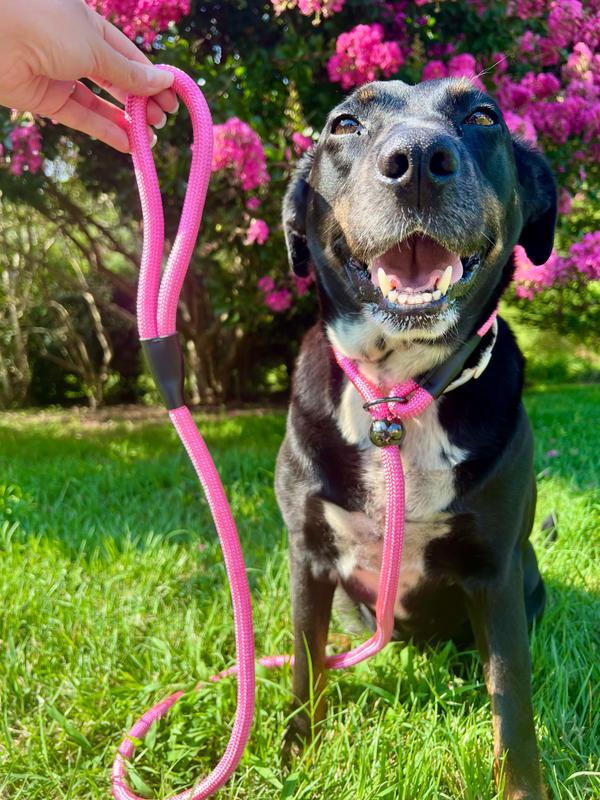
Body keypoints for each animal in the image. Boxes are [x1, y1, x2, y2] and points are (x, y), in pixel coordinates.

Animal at [274, 76, 556, 800]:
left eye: (482, 116)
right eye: (344, 124)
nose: (421, 161)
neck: (396, 397)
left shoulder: (495, 570)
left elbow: (511, 698)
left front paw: (522, 785)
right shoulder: (309, 557)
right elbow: (305, 666)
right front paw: (294, 757)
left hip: (528, 579)